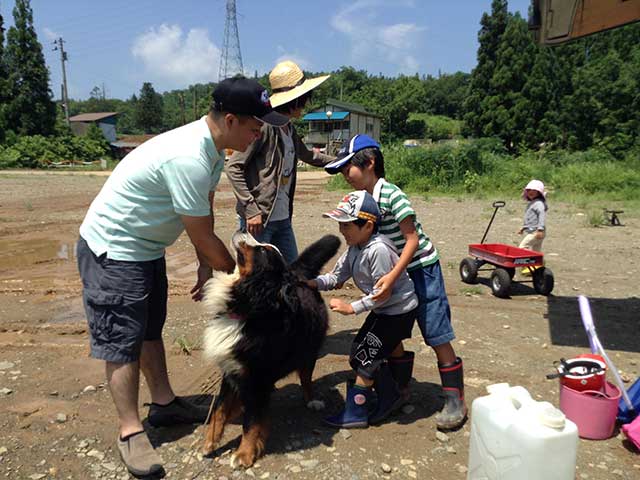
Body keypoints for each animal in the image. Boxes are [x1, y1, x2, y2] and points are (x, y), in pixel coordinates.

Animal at [201, 231, 340, 466]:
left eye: (262, 250)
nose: (244, 230)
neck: (247, 310)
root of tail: (296, 275)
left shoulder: (257, 378)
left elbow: (252, 421)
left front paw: (244, 454)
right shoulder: (231, 369)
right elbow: (219, 410)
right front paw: (210, 441)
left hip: (308, 350)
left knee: (306, 378)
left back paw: (311, 400)